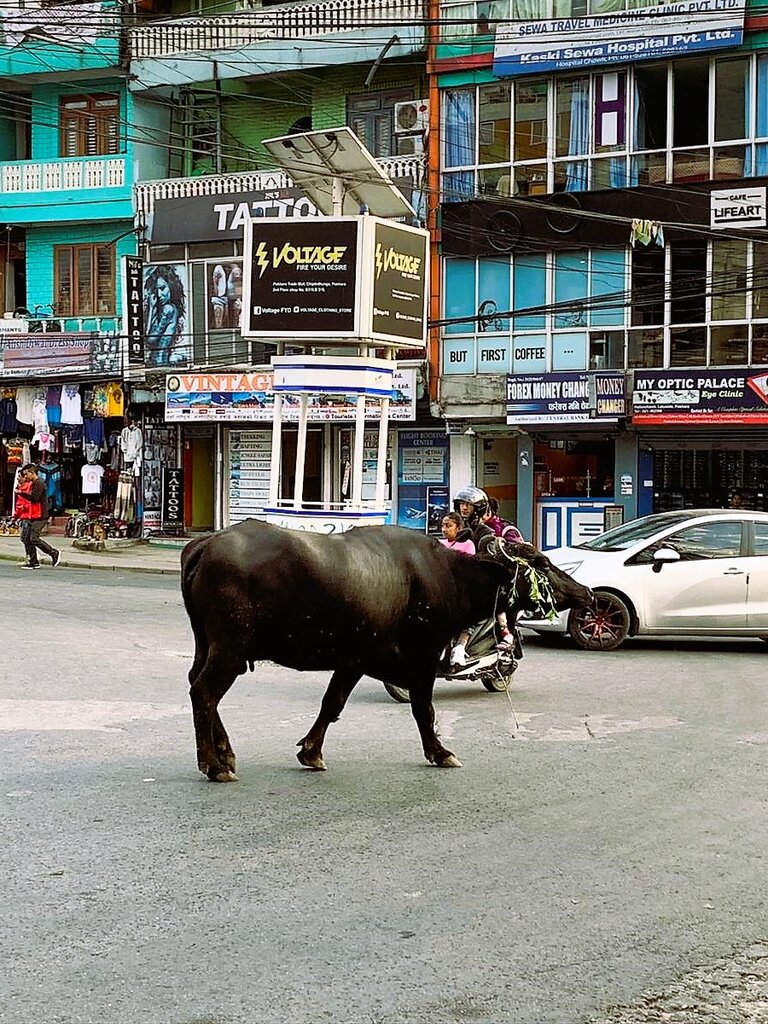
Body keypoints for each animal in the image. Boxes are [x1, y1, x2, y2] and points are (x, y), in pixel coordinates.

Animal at [182, 524, 593, 778]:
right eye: (543, 563)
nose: (587, 592)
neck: (447, 575)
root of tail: (206, 544)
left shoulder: (353, 660)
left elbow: (331, 704)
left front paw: (311, 752)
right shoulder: (423, 657)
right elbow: (424, 709)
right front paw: (440, 752)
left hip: (209, 647)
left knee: (198, 688)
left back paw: (226, 754)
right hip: (230, 650)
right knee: (204, 693)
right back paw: (214, 765)